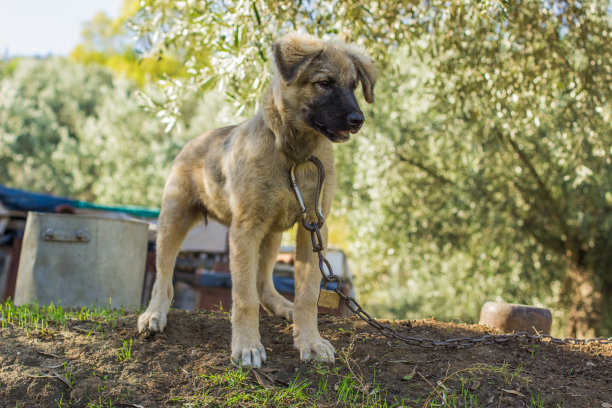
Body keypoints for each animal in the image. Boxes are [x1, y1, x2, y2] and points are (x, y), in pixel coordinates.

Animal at [139, 32, 376, 366]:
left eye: (354, 85)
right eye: (325, 83)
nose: (358, 120)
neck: (294, 154)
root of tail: (196, 139)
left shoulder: (313, 227)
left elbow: (306, 295)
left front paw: (310, 341)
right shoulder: (245, 231)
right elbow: (244, 297)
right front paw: (247, 346)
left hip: (272, 233)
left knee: (264, 283)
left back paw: (285, 308)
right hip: (174, 220)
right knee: (164, 274)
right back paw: (154, 314)